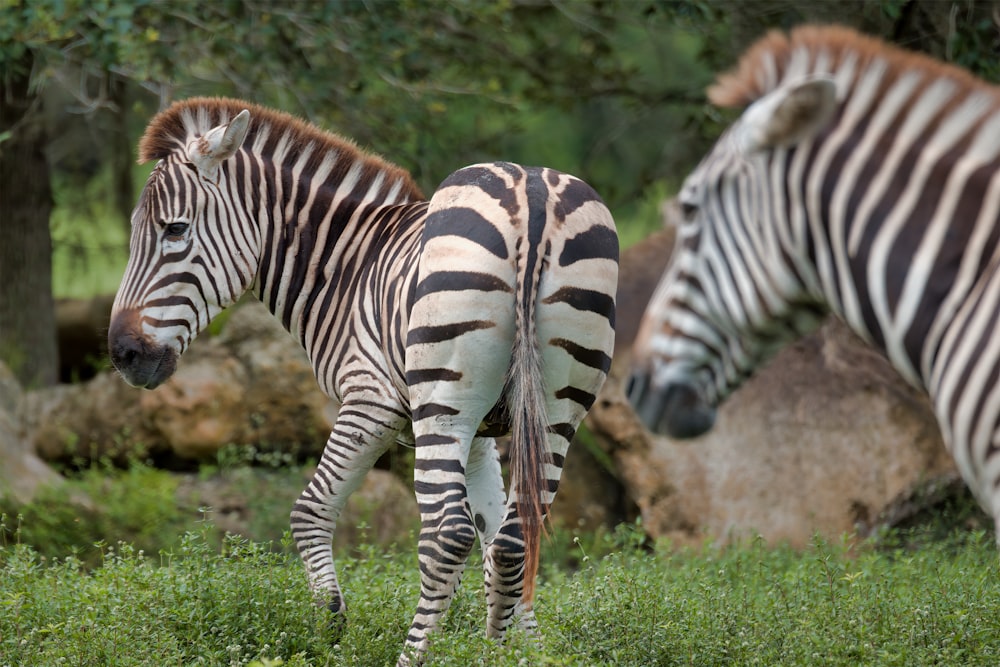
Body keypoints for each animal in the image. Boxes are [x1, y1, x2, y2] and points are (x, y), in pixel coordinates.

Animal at [105, 96, 612, 664]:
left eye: (174, 229)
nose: (123, 355)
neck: (348, 269)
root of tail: (531, 194)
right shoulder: (481, 432)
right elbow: (493, 539)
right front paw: (513, 647)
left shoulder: (372, 402)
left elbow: (310, 511)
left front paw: (330, 626)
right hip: (554, 407)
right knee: (517, 532)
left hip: (442, 401)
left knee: (447, 534)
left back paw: (410, 656)